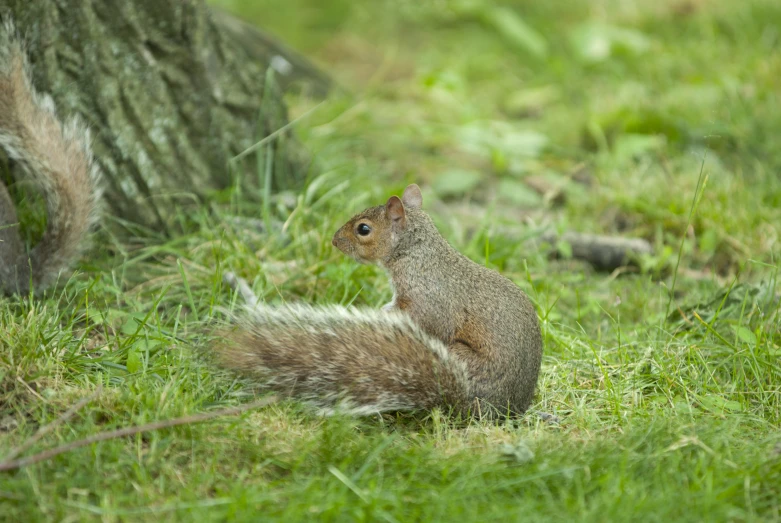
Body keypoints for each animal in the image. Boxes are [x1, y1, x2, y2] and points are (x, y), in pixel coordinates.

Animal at [213, 186, 544, 420]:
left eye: (363, 229)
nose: (334, 241)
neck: (416, 253)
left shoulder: (429, 296)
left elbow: (427, 320)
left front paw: (381, 313)